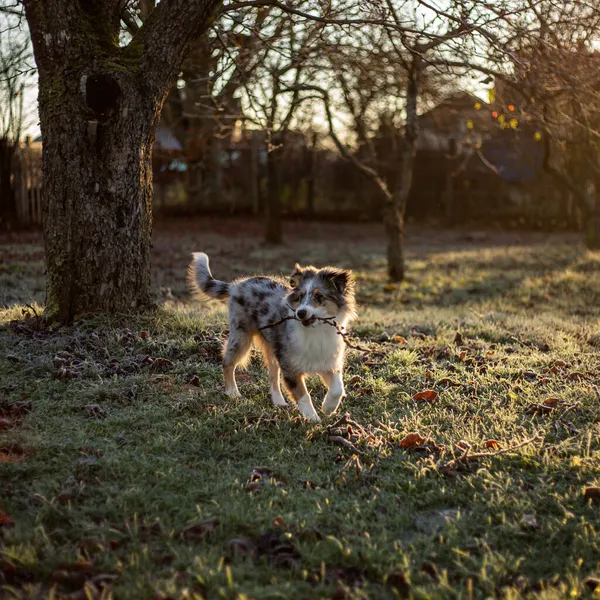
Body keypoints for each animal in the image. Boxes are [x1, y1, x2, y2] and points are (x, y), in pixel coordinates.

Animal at [189, 253, 356, 422]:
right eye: (300, 297)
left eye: (319, 296)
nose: (300, 313)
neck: (315, 332)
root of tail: (237, 285)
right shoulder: (290, 367)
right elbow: (304, 396)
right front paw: (313, 419)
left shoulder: (328, 362)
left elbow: (338, 388)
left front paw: (328, 408)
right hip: (241, 336)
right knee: (228, 363)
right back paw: (233, 393)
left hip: (273, 350)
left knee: (272, 376)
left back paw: (279, 402)